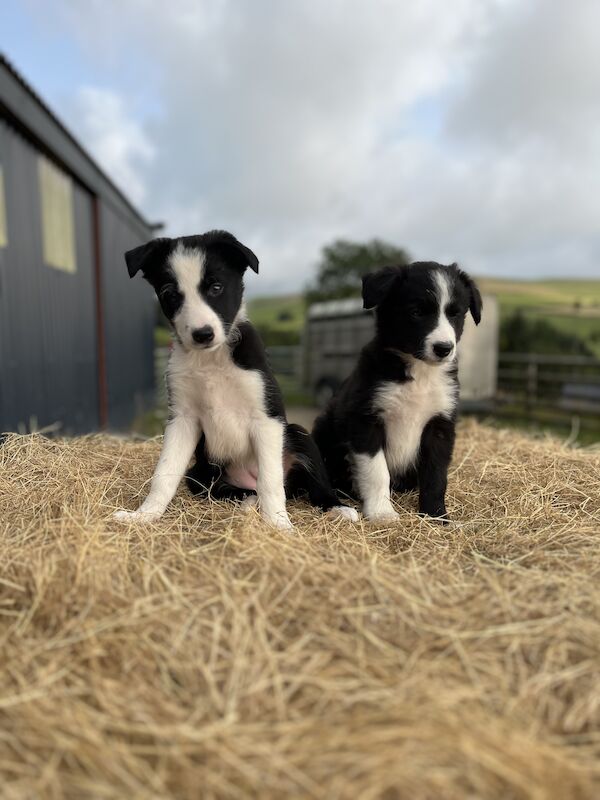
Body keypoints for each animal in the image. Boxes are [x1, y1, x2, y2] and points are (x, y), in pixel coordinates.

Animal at [113, 231, 356, 532]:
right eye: (170, 293)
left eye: (216, 287)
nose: (202, 334)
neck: (211, 359)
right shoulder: (182, 418)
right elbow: (164, 473)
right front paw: (144, 515)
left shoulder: (266, 417)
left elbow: (271, 482)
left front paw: (279, 525)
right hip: (200, 476)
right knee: (242, 491)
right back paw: (247, 503)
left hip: (298, 434)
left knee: (299, 484)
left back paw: (338, 508)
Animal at [312, 264, 480, 524]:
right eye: (417, 312)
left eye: (455, 314)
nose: (444, 349)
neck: (420, 373)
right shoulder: (366, 420)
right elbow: (377, 471)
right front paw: (381, 513)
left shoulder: (440, 424)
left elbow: (436, 475)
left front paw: (435, 516)